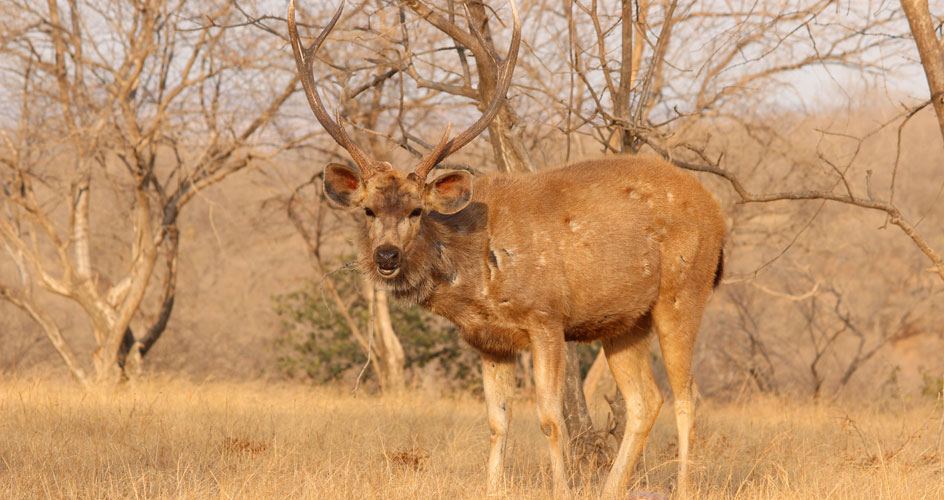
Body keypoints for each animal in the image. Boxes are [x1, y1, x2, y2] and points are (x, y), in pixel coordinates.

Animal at [288, 1, 724, 498]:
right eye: (368, 209)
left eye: (417, 210)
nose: (386, 257)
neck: (477, 276)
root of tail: (719, 216)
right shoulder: (488, 340)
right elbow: (497, 421)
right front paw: (493, 485)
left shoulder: (547, 316)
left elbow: (551, 419)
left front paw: (560, 489)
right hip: (625, 322)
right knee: (645, 401)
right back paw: (612, 487)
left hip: (684, 291)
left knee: (686, 396)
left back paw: (684, 486)